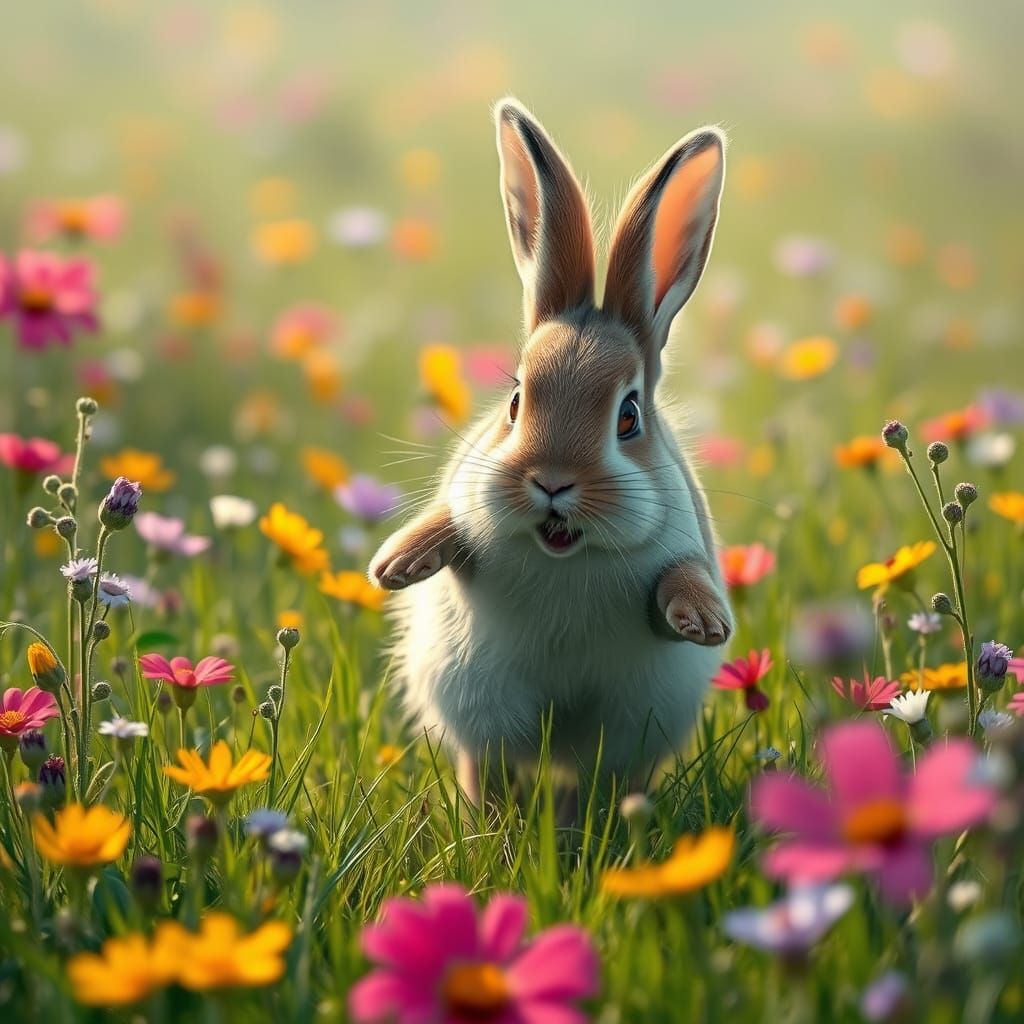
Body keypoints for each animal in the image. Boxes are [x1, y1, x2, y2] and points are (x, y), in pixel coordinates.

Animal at [369, 97, 733, 809]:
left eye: (628, 415)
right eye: (516, 401)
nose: (553, 481)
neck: (565, 551)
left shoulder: (682, 548)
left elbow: (681, 578)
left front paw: (704, 624)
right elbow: (447, 524)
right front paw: (395, 565)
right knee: (486, 767)